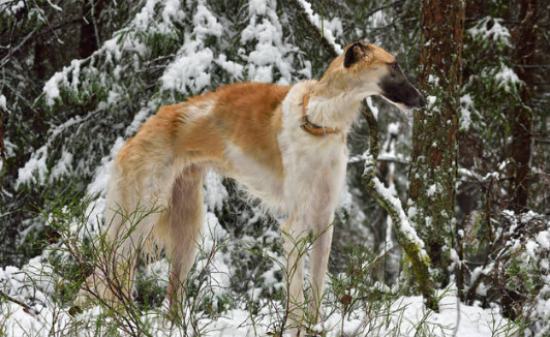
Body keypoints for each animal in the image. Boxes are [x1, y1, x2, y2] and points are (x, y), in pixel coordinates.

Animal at [75, 41, 424, 334]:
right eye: (394, 66)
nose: (423, 100)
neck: (318, 119)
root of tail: (133, 138)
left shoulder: (325, 220)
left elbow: (317, 287)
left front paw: (317, 328)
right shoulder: (295, 226)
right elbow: (297, 295)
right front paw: (294, 329)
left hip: (186, 229)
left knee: (170, 294)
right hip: (138, 216)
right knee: (105, 274)